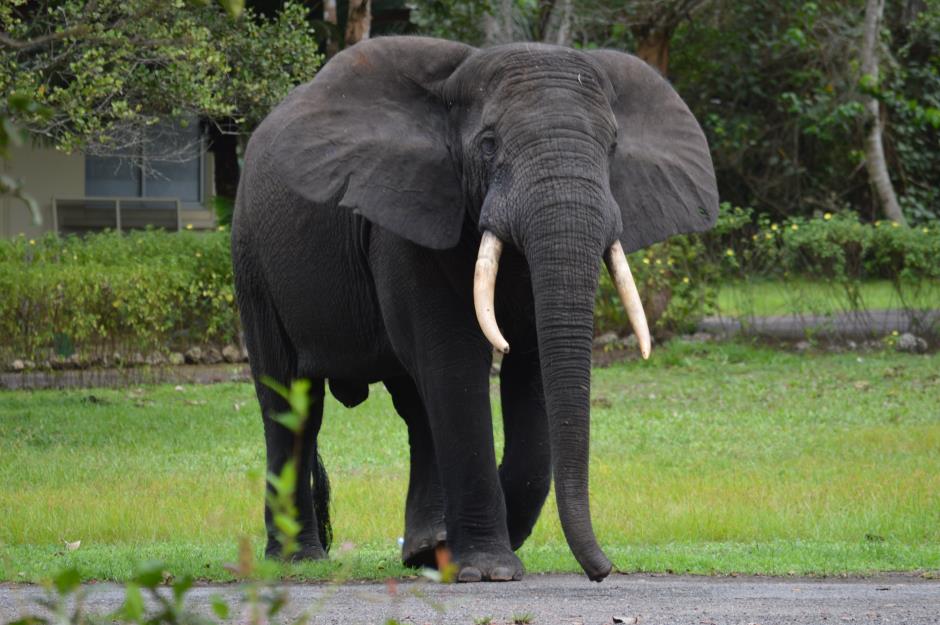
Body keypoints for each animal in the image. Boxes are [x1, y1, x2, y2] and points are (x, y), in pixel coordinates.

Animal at [231, 35, 716, 580]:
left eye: (612, 148)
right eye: (488, 144)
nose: (602, 570)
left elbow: (530, 366)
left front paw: (457, 551)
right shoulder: (408, 216)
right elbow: (455, 359)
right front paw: (490, 571)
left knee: (414, 406)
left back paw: (424, 548)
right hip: (251, 258)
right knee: (292, 405)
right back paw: (299, 560)